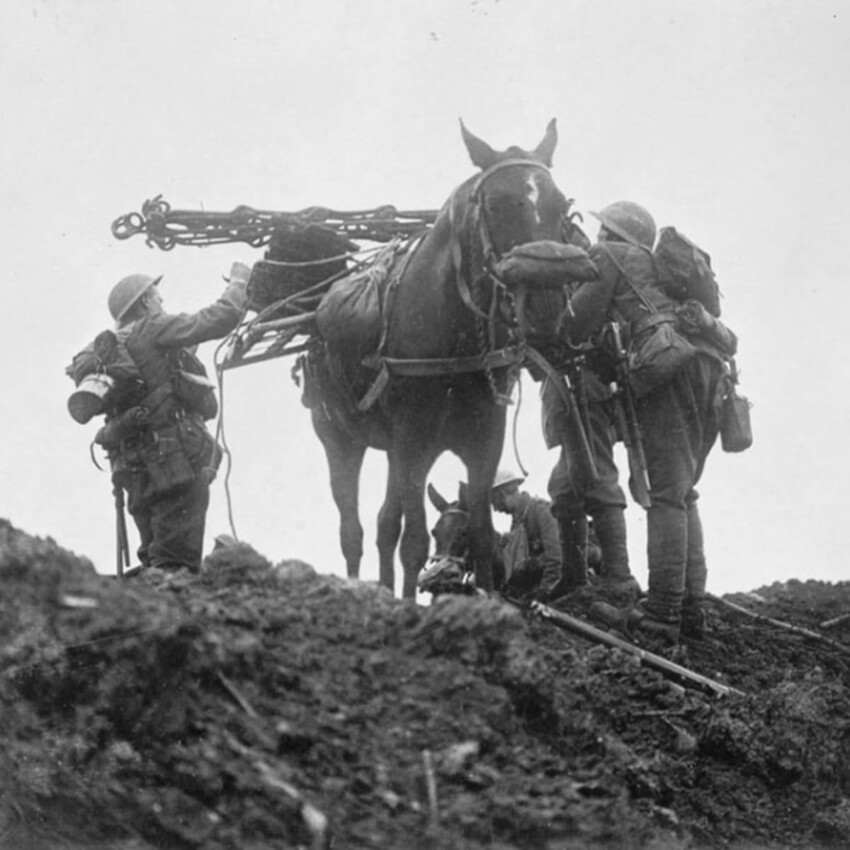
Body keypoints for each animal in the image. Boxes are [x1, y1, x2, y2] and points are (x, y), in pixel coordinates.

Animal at [300, 119, 584, 596]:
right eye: (495, 204)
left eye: (561, 204)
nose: (546, 306)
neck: (453, 344)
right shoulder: (414, 445)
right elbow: (415, 542)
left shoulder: (482, 442)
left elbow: (483, 536)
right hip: (340, 440)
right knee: (352, 531)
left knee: (384, 525)